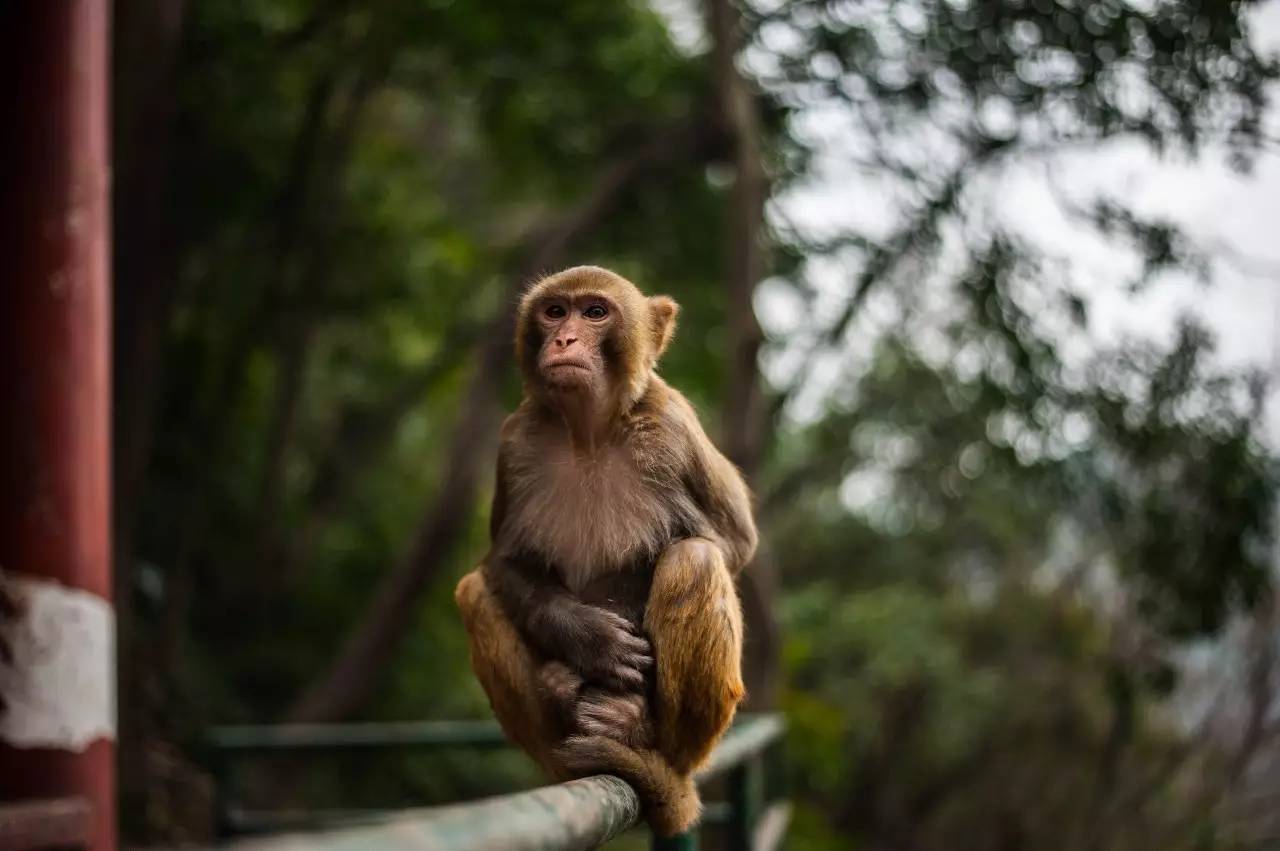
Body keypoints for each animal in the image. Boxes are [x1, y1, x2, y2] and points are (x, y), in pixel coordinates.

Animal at [458, 263, 757, 829]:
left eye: (595, 312)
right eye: (555, 311)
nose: (564, 339)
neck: (588, 435)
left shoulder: (671, 429)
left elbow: (731, 543)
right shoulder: (516, 442)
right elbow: (503, 564)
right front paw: (589, 640)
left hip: (691, 748)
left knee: (695, 559)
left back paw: (638, 732)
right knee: (475, 592)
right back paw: (561, 699)